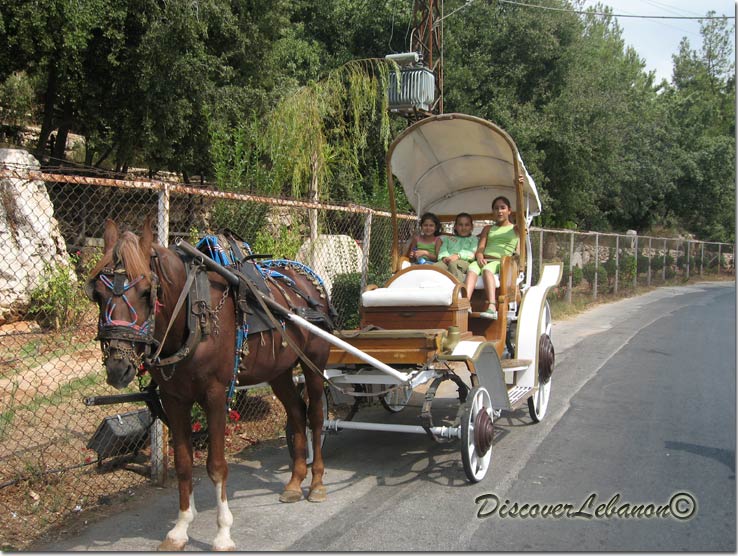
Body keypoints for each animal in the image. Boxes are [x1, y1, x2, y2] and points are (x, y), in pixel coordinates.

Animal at [86, 218, 333, 551]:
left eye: (147, 292)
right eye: (97, 294)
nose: (117, 368)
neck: (192, 318)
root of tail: (308, 280)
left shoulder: (216, 396)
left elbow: (216, 466)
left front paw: (223, 533)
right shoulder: (174, 400)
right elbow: (183, 464)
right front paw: (180, 529)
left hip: (314, 363)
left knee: (316, 417)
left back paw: (316, 482)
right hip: (279, 371)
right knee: (296, 412)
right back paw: (295, 482)